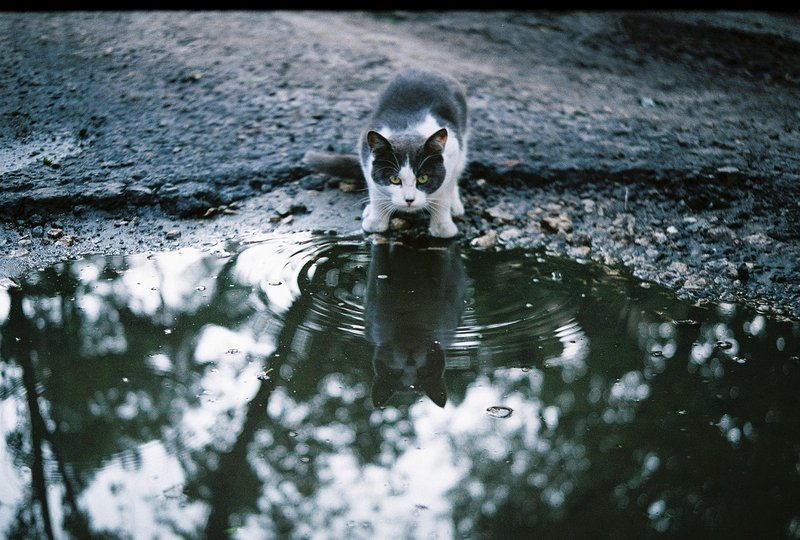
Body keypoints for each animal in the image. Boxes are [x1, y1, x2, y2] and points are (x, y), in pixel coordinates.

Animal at [304, 67, 468, 238]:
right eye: (394, 179)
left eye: (423, 178)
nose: (409, 200)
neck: (409, 128)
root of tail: (424, 69)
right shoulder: (365, 152)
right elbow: (374, 189)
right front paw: (376, 220)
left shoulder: (454, 150)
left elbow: (444, 193)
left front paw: (442, 226)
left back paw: (455, 205)